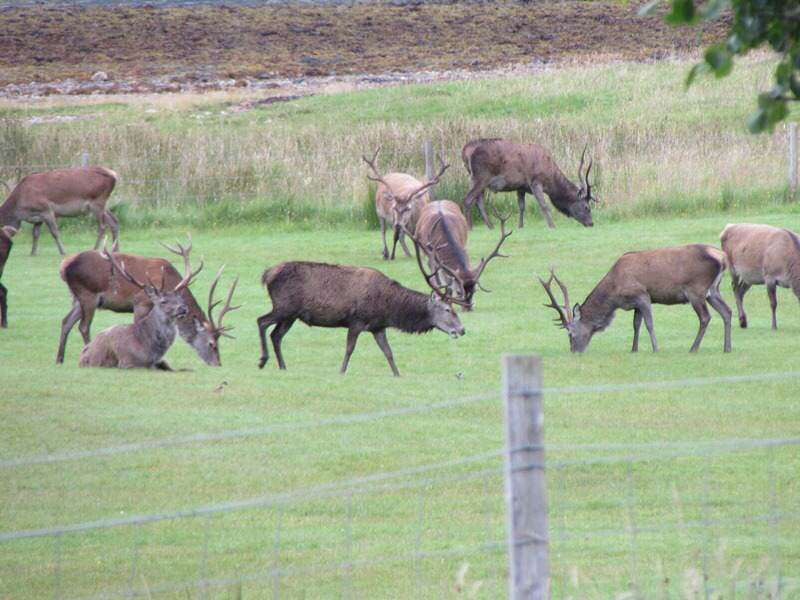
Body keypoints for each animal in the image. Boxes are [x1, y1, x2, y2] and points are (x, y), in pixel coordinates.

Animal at [56, 238, 238, 366]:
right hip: (88, 294)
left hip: (78, 298)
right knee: (83, 326)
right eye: (212, 344)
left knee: (66, 321)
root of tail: (64, 266)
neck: (170, 280)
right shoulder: (141, 303)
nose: (218, 364)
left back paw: (59, 359)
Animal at [256, 256, 468, 376]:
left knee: (276, 335)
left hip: (290, 315)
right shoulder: (356, 321)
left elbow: (388, 352)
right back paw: (262, 360)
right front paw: (341, 371)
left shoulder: (378, 327)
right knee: (261, 321)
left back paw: (283, 366)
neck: (388, 309)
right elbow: (350, 348)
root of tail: (267, 274)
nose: (462, 329)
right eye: (448, 310)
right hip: (284, 307)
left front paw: (397, 374)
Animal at [462, 138, 592, 230]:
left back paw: (491, 226)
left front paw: (520, 226)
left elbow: (521, 206)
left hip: (475, 178)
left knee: (478, 201)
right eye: (586, 207)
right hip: (481, 176)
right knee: (468, 199)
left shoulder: (521, 186)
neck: (550, 178)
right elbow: (544, 205)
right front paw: (552, 226)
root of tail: (466, 151)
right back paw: (469, 227)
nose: (591, 223)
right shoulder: (535, 182)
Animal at [536, 246, 732, 354]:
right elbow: (636, 324)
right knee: (727, 312)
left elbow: (649, 324)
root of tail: (722, 257)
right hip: (713, 290)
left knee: (705, 317)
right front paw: (634, 349)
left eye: (570, 333)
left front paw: (655, 348)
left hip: (696, 290)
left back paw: (693, 348)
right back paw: (727, 347)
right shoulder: (635, 303)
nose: (574, 351)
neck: (614, 292)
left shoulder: (643, 295)